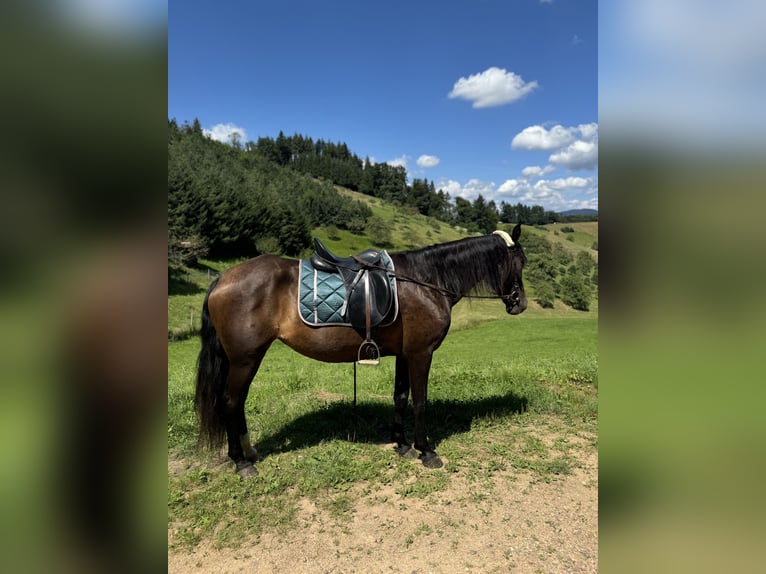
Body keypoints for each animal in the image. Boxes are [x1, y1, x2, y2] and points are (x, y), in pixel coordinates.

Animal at [195, 227, 528, 480]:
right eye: (520, 262)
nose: (520, 304)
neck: (426, 281)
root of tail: (222, 279)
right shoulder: (421, 353)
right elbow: (420, 401)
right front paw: (426, 450)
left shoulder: (404, 354)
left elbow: (400, 397)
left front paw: (402, 444)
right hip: (245, 359)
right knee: (231, 402)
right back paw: (241, 461)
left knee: (237, 403)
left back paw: (249, 453)